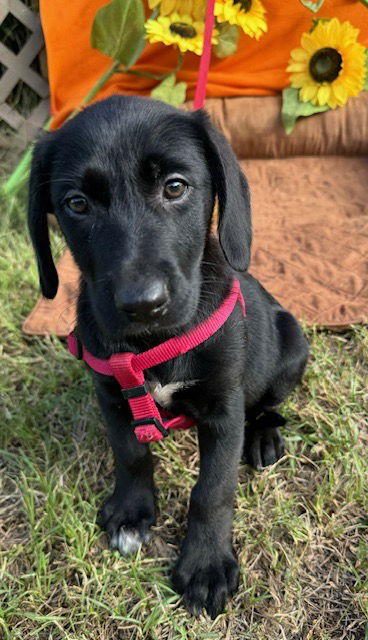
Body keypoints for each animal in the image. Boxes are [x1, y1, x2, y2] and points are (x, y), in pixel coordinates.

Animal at [28, 96, 308, 620]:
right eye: (77, 204)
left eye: (175, 187)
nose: (142, 304)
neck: (150, 346)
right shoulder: (112, 395)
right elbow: (131, 453)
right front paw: (132, 513)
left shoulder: (224, 408)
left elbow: (212, 490)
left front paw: (205, 566)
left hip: (293, 344)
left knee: (266, 405)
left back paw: (263, 438)